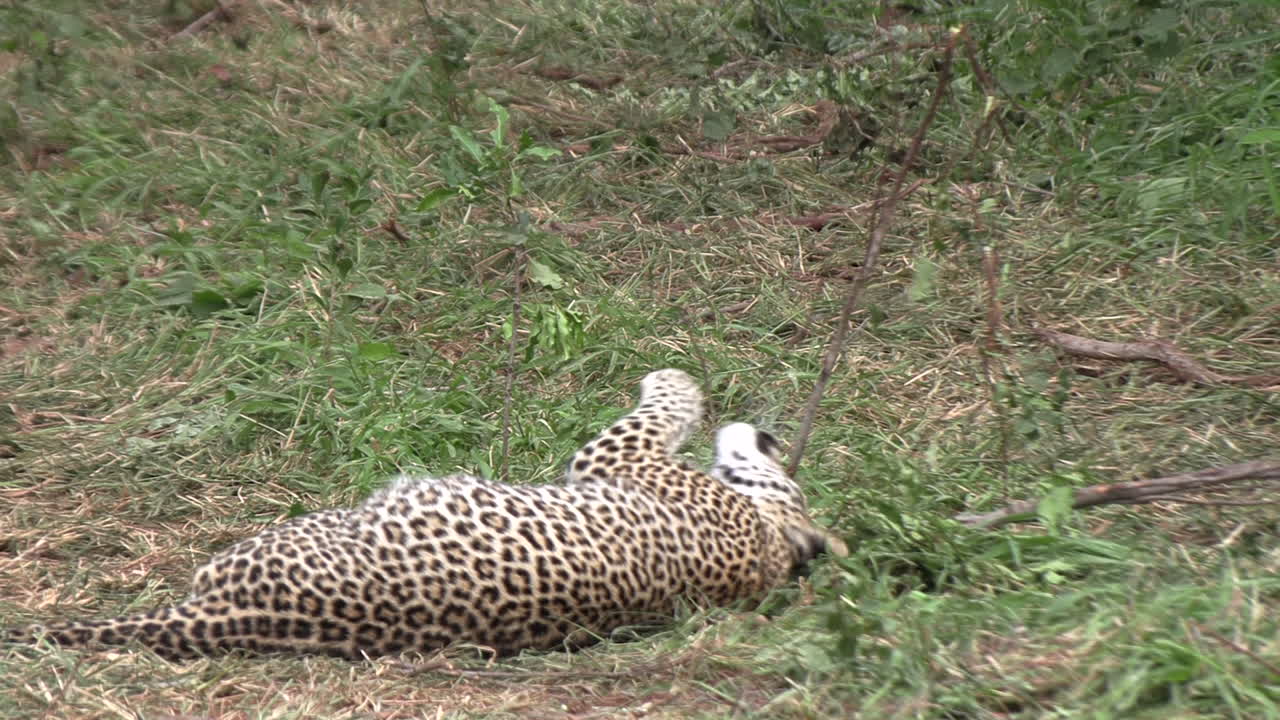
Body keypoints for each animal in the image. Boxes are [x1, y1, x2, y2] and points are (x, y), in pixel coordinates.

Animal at [4, 368, 846, 660]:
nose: (772, 434)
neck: (767, 545)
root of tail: (222, 618)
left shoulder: (617, 461)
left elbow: (662, 405)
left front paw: (672, 375)